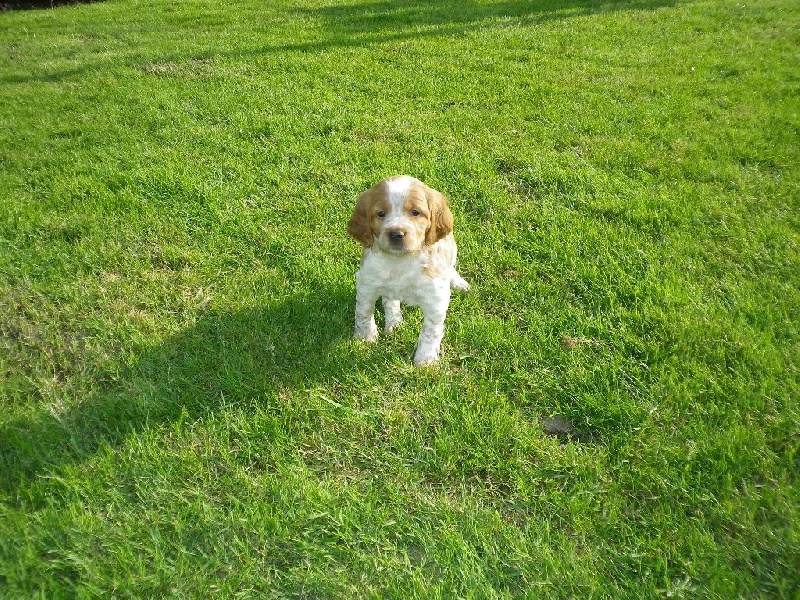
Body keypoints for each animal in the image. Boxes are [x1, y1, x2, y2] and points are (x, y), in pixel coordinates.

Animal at [346, 175, 469, 365]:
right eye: (381, 213)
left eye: (415, 212)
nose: (396, 234)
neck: (400, 261)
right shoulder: (366, 283)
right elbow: (363, 312)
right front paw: (365, 338)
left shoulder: (436, 298)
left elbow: (430, 332)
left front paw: (425, 360)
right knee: (389, 299)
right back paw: (394, 322)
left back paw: (458, 282)